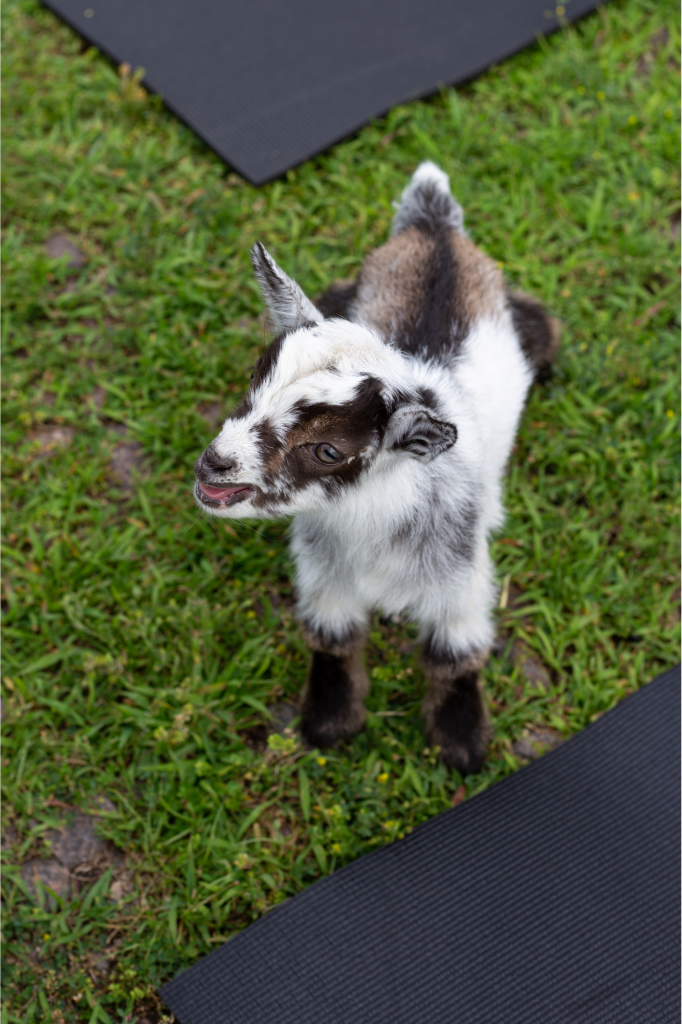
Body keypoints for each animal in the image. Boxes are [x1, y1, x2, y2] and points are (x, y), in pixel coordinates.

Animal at [193, 163, 558, 774]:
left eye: (328, 450)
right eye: (254, 381)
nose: (214, 464)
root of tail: (433, 228)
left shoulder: (460, 576)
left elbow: (454, 652)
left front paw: (461, 741)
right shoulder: (324, 573)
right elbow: (332, 636)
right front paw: (329, 720)